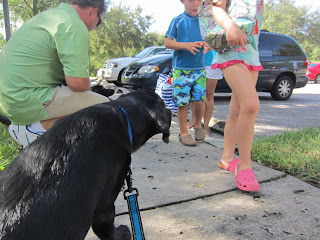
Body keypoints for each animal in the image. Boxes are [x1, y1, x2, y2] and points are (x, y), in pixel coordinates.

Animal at [0, 91, 171, 239]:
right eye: (163, 103)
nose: (170, 109)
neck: (122, 115)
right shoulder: (105, 205)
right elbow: (106, 228)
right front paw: (123, 234)